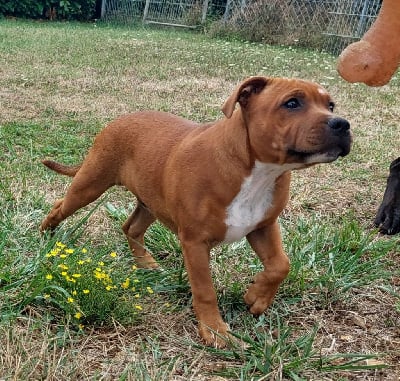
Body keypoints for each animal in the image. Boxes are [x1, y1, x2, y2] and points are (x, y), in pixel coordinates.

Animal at [40, 75, 352, 346]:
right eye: (292, 103)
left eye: (331, 105)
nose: (343, 124)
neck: (258, 171)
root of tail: (119, 119)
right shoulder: (195, 243)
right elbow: (205, 291)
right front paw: (214, 330)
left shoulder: (263, 226)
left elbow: (280, 265)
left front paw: (257, 298)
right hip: (91, 183)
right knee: (61, 206)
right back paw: (46, 237)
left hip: (151, 202)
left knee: (131, 227)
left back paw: (146, 263)